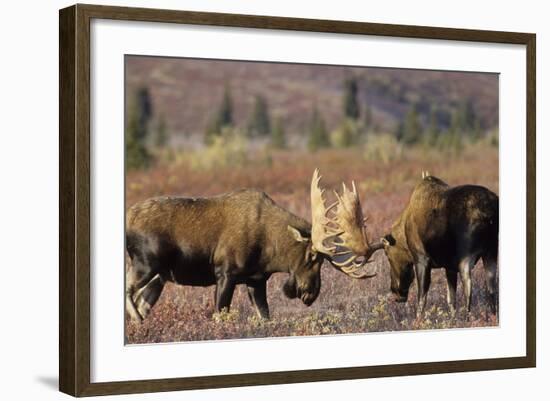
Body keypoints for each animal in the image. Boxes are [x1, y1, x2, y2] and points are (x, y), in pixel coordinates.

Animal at [126, 170, 380, 322]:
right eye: (311, 256)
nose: (310, 294)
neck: (270, 252)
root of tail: (127, 218)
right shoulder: (225, 273)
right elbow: (220, 315)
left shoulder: (256, 280)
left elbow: (265, 316)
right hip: (146, 264)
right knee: (128, 292)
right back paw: (138, 320)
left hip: (159, 276)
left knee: (140, 301)